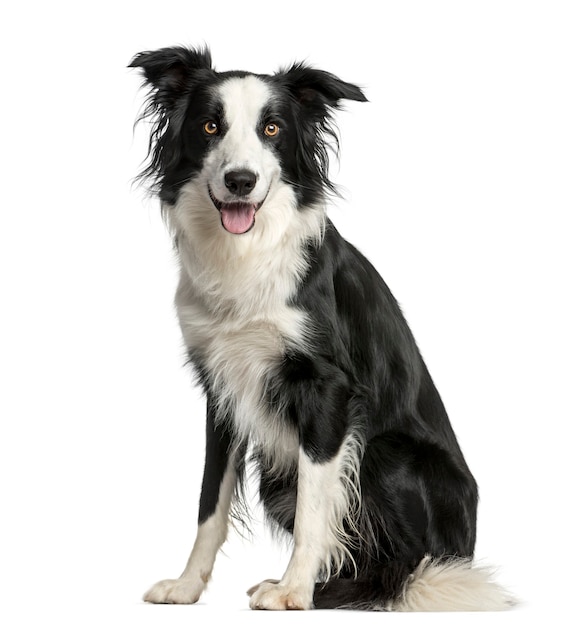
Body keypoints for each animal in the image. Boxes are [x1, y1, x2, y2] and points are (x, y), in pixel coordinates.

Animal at [129, 45, 510, 608]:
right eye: (210, 126)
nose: (240, 181)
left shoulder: (327, 389)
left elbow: (315, 507)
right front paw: (188, 585)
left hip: (387, 455)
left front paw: (293, 592)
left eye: (271, 129)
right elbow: (209, 501)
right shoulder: (222, 389)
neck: (248, 256)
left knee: (403, 565)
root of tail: (466, 550)